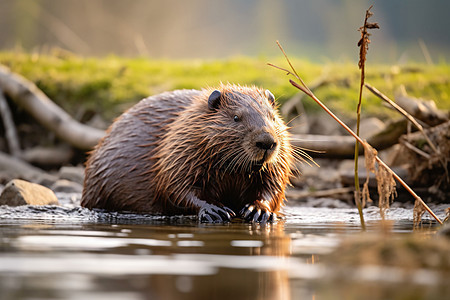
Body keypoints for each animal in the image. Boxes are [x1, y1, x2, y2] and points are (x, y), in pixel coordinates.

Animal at [81, 83, 294, 221]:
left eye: (273, 117)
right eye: (236, 117)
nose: (267, 142)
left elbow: (273, 186)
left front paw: (258, 210)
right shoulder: (180, 148)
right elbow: (175, 187)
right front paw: (214, 210)